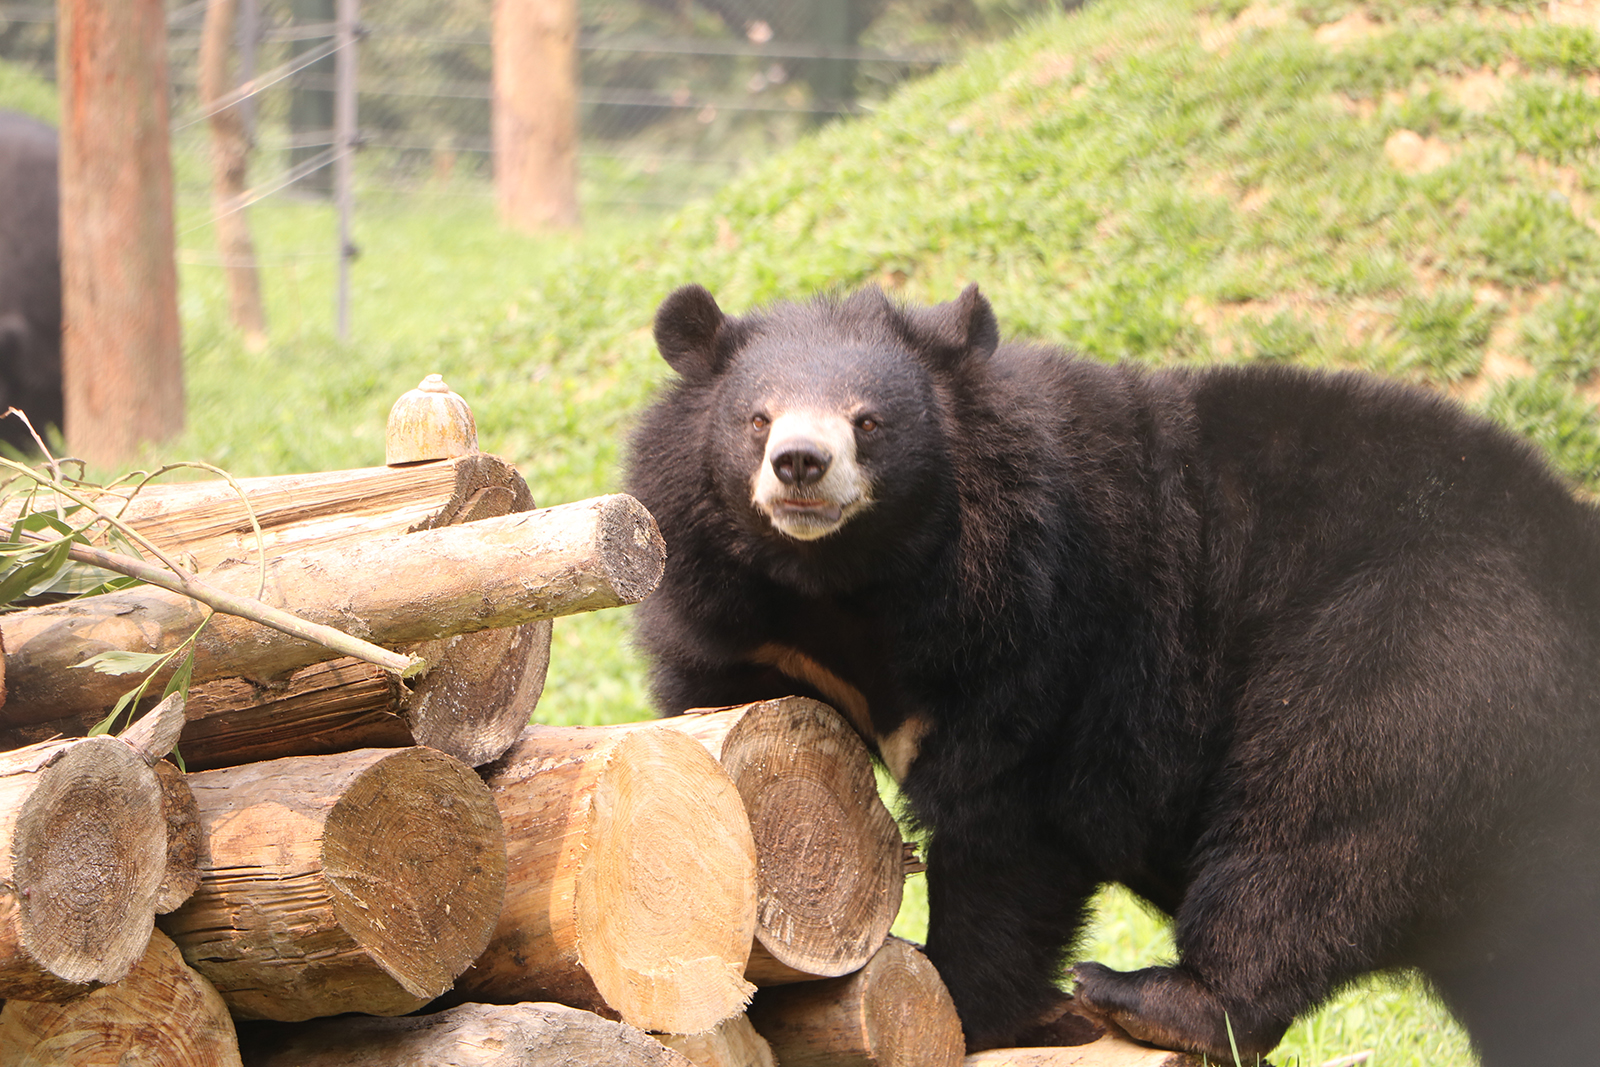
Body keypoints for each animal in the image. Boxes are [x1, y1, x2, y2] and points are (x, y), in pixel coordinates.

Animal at [620, 286, 1600, 1067]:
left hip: (1427, 650)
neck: (851, 584)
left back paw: (1146, 996)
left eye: (869, 421)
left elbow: (1010, 828)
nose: (801, 464)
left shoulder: (1050, 628)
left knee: (1323, 813)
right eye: (757, 417)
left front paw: (968, 1007)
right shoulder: (735, 616)